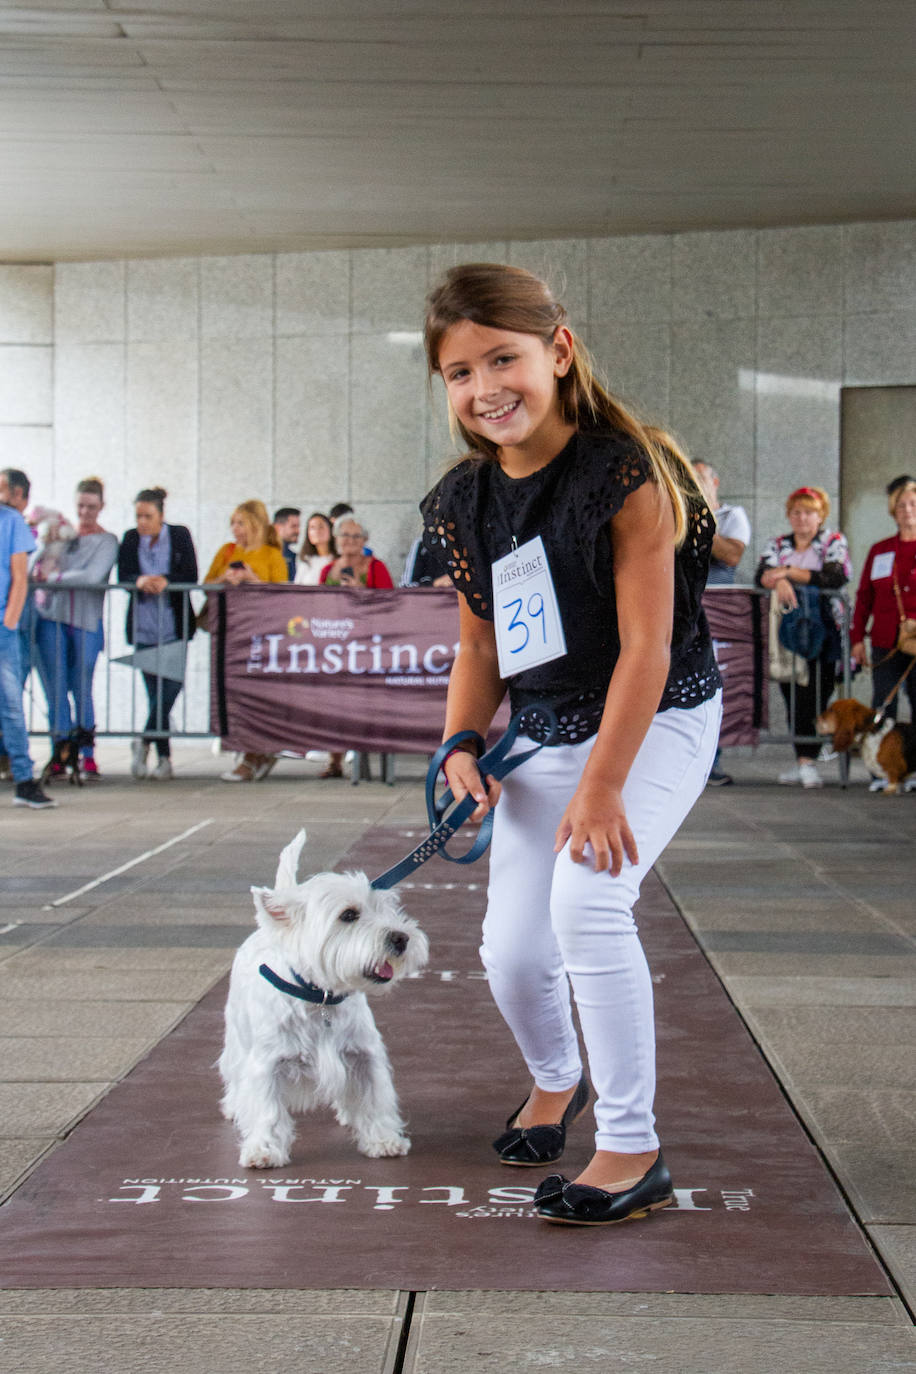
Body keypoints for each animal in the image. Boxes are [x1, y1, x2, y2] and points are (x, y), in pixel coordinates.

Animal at [219, 824, 431, 1170]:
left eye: (386, 908)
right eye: (349, 915)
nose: (401, 938)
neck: (320, 998)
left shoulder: (363, 1054)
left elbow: (374, 1097)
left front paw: (383, 1140)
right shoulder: (267, 1063)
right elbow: (267, 1109)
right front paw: (264, 1150)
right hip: (238, 1039)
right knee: (235, 1075)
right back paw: (235, 1106)